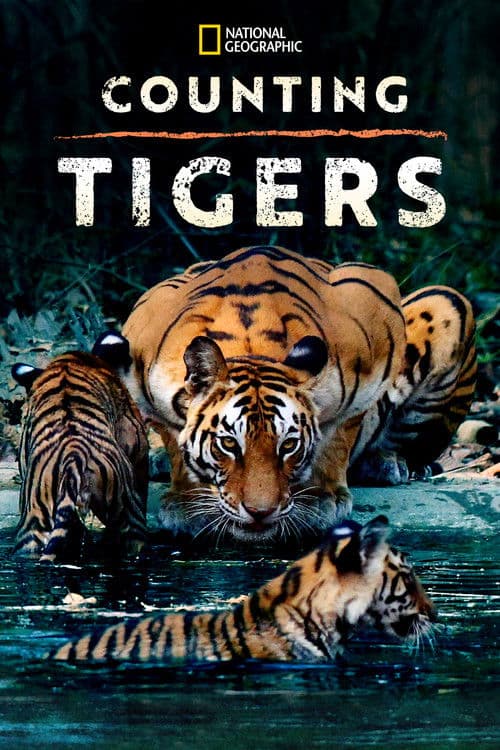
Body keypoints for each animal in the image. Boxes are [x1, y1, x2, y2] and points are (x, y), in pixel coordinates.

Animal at [121, 244, 476, 544]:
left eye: (289, 445)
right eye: (229, 444)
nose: (260, 513)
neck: (251, 347)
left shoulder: (372, 312)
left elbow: (340, 432)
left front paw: (322, 498)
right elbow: (174, 437)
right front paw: (188, 504)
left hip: (448, 301)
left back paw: (385, 464)